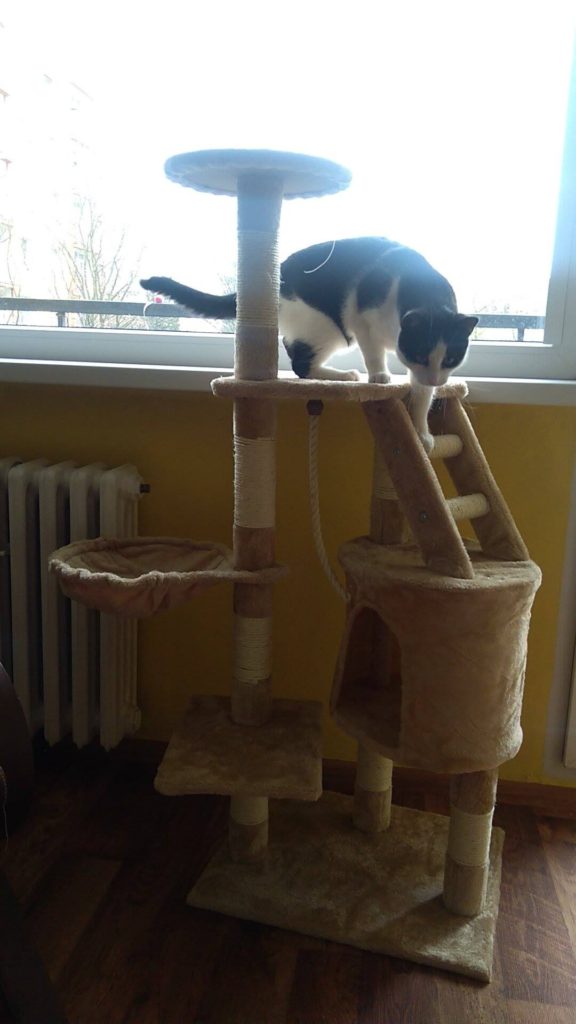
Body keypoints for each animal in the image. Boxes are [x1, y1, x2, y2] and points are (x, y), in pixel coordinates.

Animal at [141, 236, 478, 450]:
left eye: (450, 359)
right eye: (419, 352)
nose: (435, 377)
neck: (425, 292)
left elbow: (422, 396)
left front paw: (422, 433)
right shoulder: (362, 320)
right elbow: (373, 352)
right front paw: (380, 377)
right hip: (330, 326)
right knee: (301, 364)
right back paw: (347, 376)